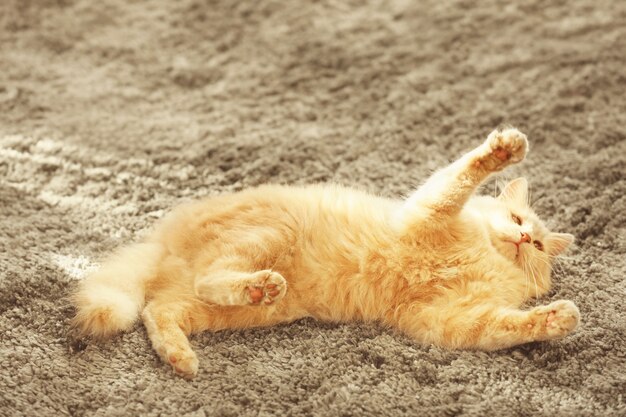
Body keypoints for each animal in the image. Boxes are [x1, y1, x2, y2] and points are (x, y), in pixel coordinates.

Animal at [72, 127, 576, 376]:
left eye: (535, 244)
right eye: (517, 221)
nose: (522, 239)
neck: (487, 255)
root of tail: (163, 240)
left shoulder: (451, 319)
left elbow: (510, 326)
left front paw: (558, 318)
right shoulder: (433, 210)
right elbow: (468, 171)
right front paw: (505, 148)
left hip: (226, 310)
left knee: (159, 311)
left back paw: (181, 359)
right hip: (266, 237)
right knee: (206, 280)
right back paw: (255, 286)